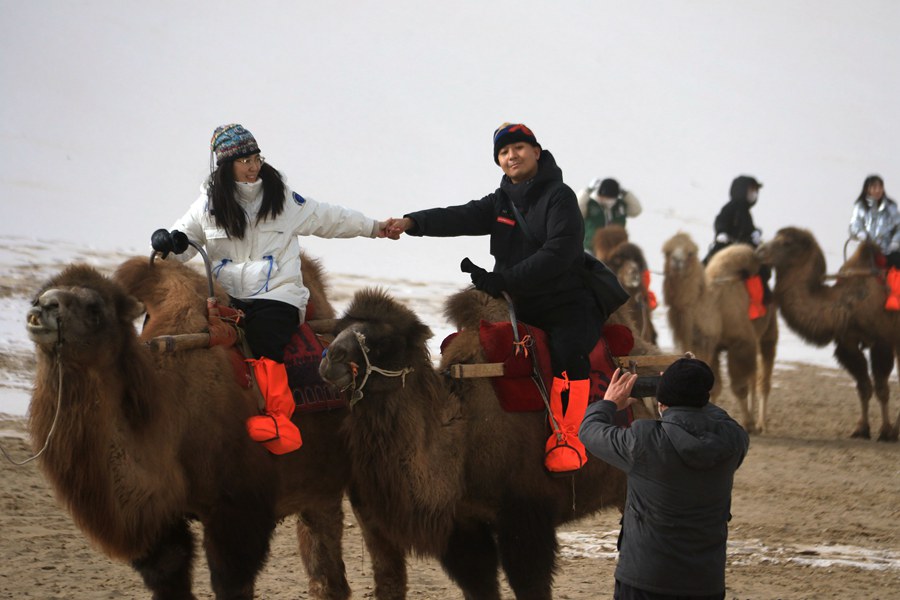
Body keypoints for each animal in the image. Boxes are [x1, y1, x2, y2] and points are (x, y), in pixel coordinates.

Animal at [25, 255, 398, 596]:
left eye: (94, 307)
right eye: (40, 293)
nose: (43, 307)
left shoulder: (237, 512)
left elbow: (230, 581)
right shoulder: (160, 525)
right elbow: (169, 573)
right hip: (316, 484)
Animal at [318, 288, 648, 600]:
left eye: (384, 341)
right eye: (339, 330)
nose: (331, 359)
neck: (462, 441)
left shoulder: (526, 514)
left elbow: (531, 585)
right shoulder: (461, 525)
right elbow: (480, 587)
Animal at [656, 232, 776, 434]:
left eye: (690, 253)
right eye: (667, 252)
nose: (677, 262)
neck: (715, 309)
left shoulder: (740, 343)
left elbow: (739, 387)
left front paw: (747, 423)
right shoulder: (710, 346)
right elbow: (714, 387)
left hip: (768, 331)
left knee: (762, 377)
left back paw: (762, 424)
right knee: (753, 376)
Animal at [760, 226, 900, 440]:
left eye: (786, 243)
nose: (759, 251)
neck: (846, 303)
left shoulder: (882, 340)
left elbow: (881, 388)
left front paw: (886, 432)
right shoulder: (847, 341)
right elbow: (863, 387)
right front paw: (861, 429)